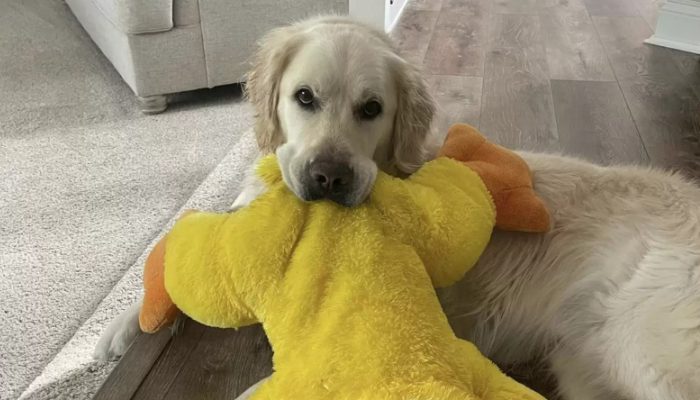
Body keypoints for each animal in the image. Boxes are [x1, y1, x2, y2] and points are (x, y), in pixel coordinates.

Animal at [97, 16, 700, 400]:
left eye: (372, 108)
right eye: (304, 97)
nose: (328, 177)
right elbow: (178, 253)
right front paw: (124, 326)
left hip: (644, 349)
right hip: (584, 366)